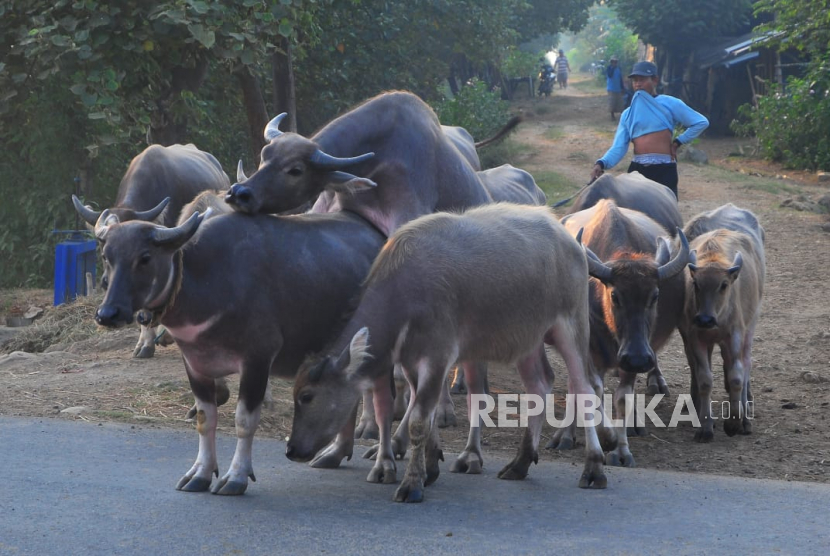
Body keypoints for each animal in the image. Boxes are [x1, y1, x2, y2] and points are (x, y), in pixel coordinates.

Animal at [288, 204, 612, 504]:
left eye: (307, 396)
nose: (292, 450)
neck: (407, 291)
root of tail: (569, 239)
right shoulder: (411, 361)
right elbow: (425, 413)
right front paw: (430, 468)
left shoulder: (438, 355)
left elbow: (419, 419)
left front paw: (412, 484)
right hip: (528, 339)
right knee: (539, 384)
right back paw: (520, 463)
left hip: (571, 326)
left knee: (585, 387)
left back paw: (594, 468)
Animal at [548, 198, 692, 466]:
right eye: (615, 296)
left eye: (655, 296)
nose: (638, 358)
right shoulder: (590, 349)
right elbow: (592, 389)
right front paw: (606, 435)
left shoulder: (633, 356)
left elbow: (622, 397)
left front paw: (621, 449)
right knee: (575, 383)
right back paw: (566, 435)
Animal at [684, 202, 768, 440]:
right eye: (696, 284)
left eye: (724, 285)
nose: (705, 319)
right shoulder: (694, 337)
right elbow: (704, 379)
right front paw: (705, 426)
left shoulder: (735, 335)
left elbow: (737, 375)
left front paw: (734, 422)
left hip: (750, 324)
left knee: (745, 364)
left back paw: (745, 417)